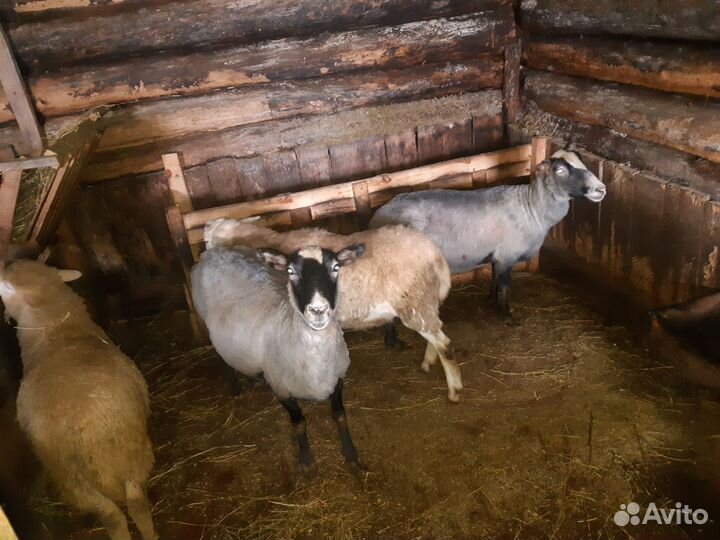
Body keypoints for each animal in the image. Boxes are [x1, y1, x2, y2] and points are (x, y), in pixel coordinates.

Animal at [0, 260, 156, 540]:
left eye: (6, 286)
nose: (7, 262)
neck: (59, 330)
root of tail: (93, 429)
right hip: (134, 453)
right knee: (137, 504)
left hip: (71, 476)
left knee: (113, 516)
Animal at [192, 243, 366, 472]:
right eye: (290, 271)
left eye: (336, 267)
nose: (318, 310)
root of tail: (211, 251)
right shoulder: (281, 388)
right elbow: (299, 423)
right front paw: (307, 462)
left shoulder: (338, 377)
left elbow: (339, 416)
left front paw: (351, 453)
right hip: (207, 324)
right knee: (221, 356)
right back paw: (235, 387)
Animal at [203, 219, 463, 402]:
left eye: (207, 240)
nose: (206, 257)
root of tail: (436, 255)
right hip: (424, 301)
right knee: (435, 335)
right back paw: (428, 363)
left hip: (414, 301)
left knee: (445, 344)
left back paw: (454, 390)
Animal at [369, 150, 606, 317]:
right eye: (560, 170)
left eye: (583, 163)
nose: (601, 189)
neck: (531, 207)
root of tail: (377, 216)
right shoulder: (508, 255)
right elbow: (505, 285)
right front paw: (506, 314)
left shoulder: (497, 255)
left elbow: (495, 280)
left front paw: (492, 303)